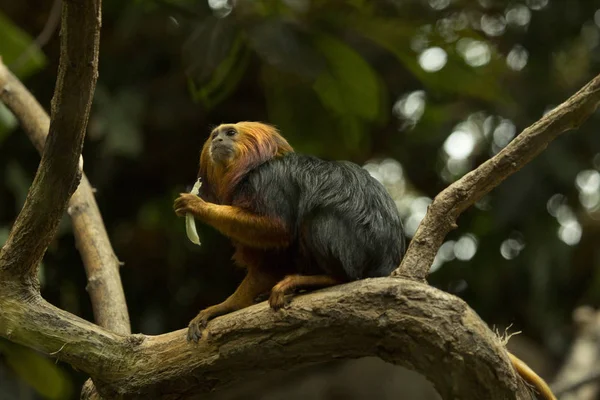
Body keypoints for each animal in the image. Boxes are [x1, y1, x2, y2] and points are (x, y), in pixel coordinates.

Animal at [173, 122, 556, 400]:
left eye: (230, 133)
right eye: (215, 135)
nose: (217, 137)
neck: (249, 167)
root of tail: (388, 262)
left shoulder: (267, 182)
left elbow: (277, 228)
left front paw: (198, 206)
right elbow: (265, 266)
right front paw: (223, 308)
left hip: (352, 248)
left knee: (319, 221)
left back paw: (321, 280)